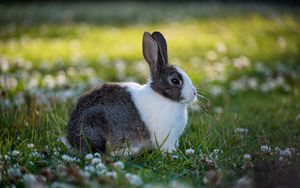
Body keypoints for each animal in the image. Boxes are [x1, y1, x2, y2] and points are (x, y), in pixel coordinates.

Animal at [67, 31, 197, 156]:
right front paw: (174, 154)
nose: (194, 93)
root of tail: (70, 140)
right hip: (93, 124)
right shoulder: (166, 139)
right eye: (175, 80)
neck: (162, 96)